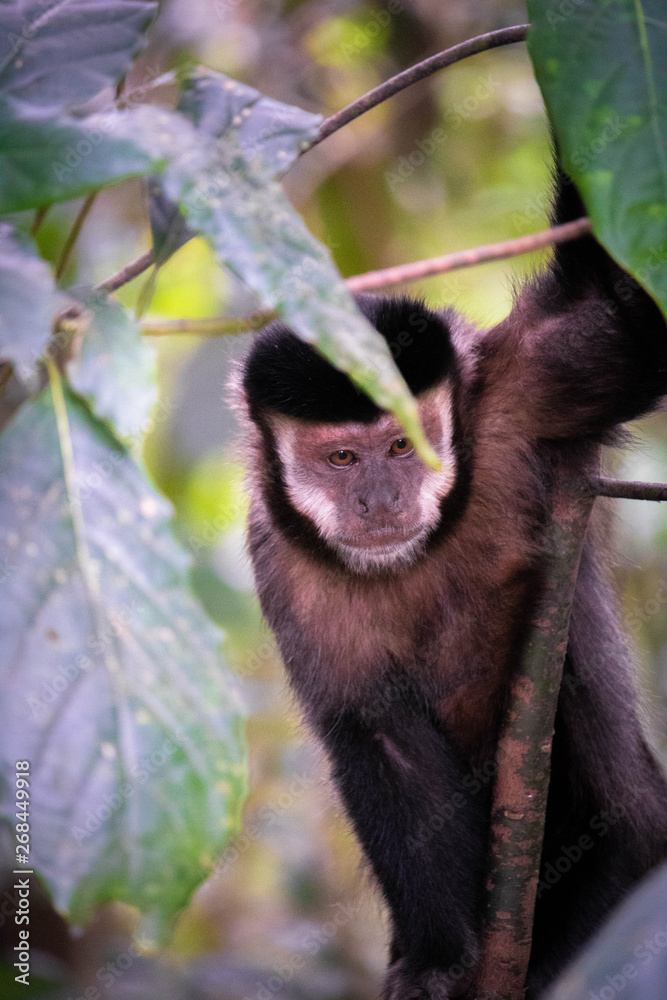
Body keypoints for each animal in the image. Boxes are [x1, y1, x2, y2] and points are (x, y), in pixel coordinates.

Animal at [233, 160, 667, 999]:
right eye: (342, 458)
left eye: (402, 445)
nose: (379, 500)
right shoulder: (278, 560)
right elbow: (377, 734)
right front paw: (436, 961)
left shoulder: (521, 394)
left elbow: (627, 309)